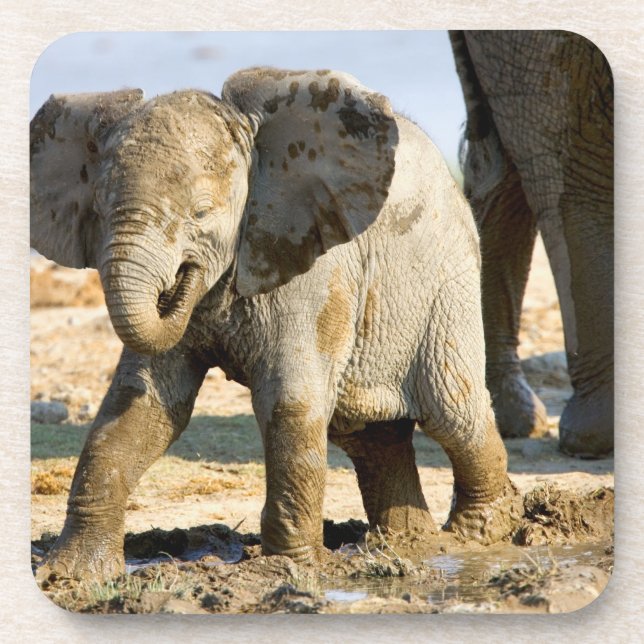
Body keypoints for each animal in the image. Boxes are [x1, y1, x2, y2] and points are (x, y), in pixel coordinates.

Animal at [30, 67, 521, 581]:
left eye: (201, 213)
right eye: (99, 211)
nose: (181, 282)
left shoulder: (312, 265)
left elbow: (288, 400)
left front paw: (288, 570)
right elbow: (140, 405)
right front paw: (71, 574)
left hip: (448, 283)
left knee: (453, 412)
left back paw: (476, 536)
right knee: (369, 435)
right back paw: (409, 544)